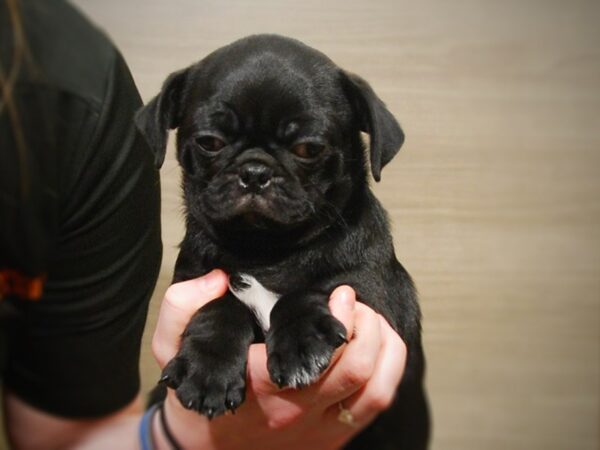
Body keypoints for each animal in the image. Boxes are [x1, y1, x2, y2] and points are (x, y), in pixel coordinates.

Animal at [136, 33, 428, 448]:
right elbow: (220, 303)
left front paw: (301, 341)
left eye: (309, 149)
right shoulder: (192, 282)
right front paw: (206, 367)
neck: (266, 251)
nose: (255, 172)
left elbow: (309, 290)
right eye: (210, 142)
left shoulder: (377, 299)